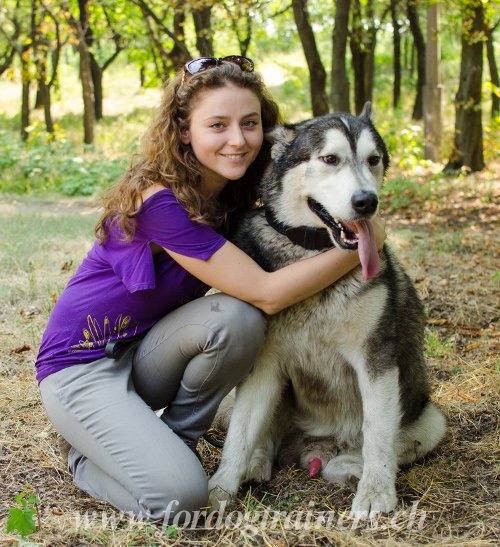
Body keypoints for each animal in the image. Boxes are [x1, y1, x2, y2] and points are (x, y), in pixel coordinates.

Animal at [207, 104, 446, 520]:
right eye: (330, 159)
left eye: (373, 159)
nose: (367, 202)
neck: (313, 254)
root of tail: (315, 447)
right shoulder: (263, 365)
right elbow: (239, 435)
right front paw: (219, 490)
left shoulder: (376, 361)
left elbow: (378, 434)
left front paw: (376, 494)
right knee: (261, 432)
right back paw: (257, 460)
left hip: (431, 421)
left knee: (384, 444)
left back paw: (350, 466)